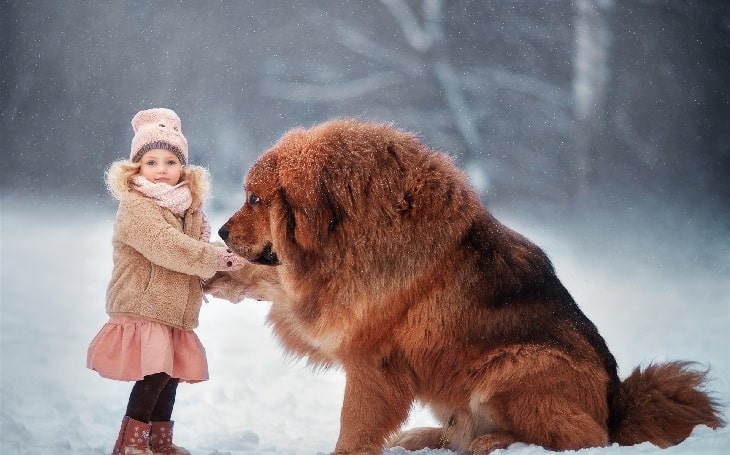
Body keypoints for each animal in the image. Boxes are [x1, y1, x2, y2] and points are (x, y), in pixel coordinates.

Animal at [212, 119, 724, 454]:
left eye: (254, 199)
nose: (220, 230)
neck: (349, 229)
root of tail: (616, 404)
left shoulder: (370, 361)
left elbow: (353, 428)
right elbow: (271, 277)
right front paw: (221, 272)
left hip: (514, 366)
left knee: (581, 439)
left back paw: (496, 442)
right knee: (461, 433)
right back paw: (424, 438)